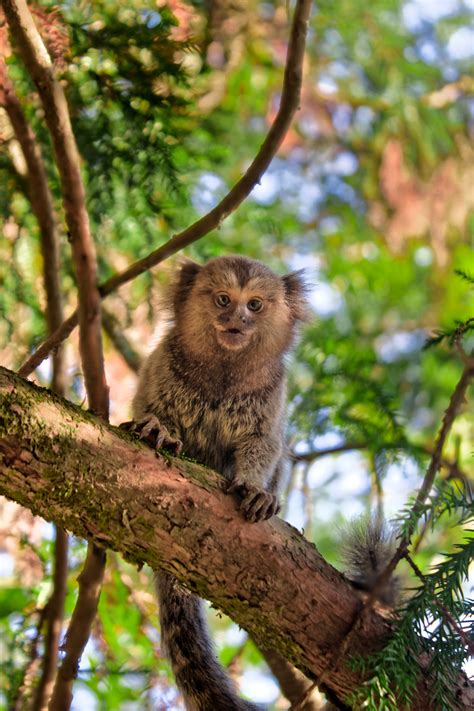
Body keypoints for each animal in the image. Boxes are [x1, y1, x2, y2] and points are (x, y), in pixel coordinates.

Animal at [131, 256, 308, 711]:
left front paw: (257, 490)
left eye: (255, 305)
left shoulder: (271, 394)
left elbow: (265, 446)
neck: (224, 373)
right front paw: (160, 429)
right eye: (224, 300)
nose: (237, 320)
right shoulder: (162, 366)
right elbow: (150, 411)